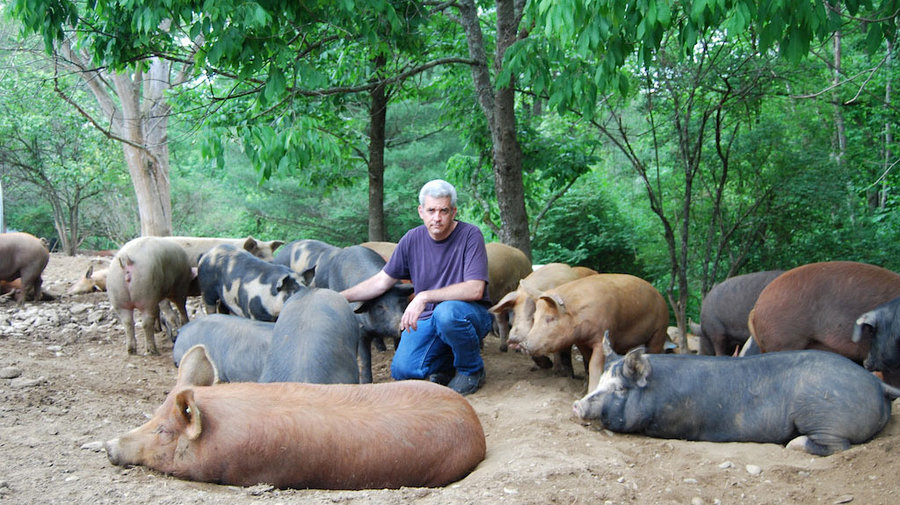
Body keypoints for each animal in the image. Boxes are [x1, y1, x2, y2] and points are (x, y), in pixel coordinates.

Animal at [306, 244, 412, 382]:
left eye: (401, 301)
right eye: (380, 306)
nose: (401, 325)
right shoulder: (361, 331)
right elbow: (365, 359)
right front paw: (366, 382)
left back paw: (382, 349)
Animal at [512, 274, 668, 392]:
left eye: (550, 318)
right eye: (534, 318)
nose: (522, 344)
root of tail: (660, 296)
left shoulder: (604, 337)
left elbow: (595, 365)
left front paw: (591, 390)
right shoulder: (581, 342)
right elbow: (587, 361)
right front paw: (584, 389)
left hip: (659, 331)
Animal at [572, 342, 896, 456]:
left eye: (620, 388)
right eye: (599, 381)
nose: (577, 404)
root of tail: (877, 384)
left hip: (824, 412)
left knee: (837, 445)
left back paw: (793, 444)